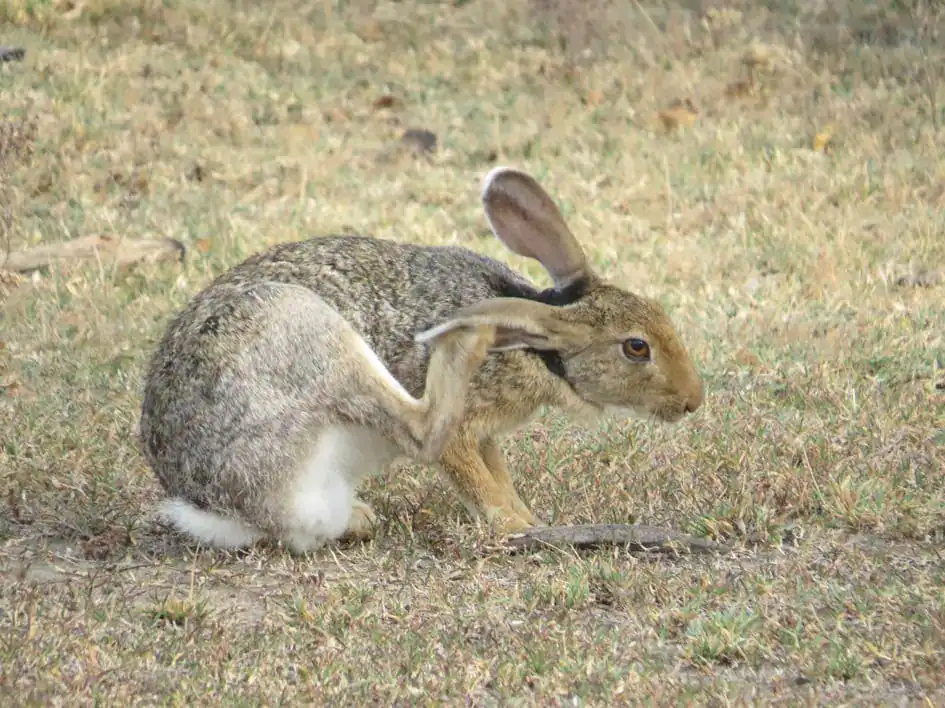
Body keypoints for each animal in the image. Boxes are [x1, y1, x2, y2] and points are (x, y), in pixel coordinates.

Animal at [139, 166, 703, 553]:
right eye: (636, 347)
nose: (693, 401)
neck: (539, 345)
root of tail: (221, 507)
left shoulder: (486, 434)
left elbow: (497, 472)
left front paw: (526, 515)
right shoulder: (465, 430)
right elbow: (463, 467)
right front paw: (514, 525)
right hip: (305, 330)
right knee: (420, 428)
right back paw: (464, 338)